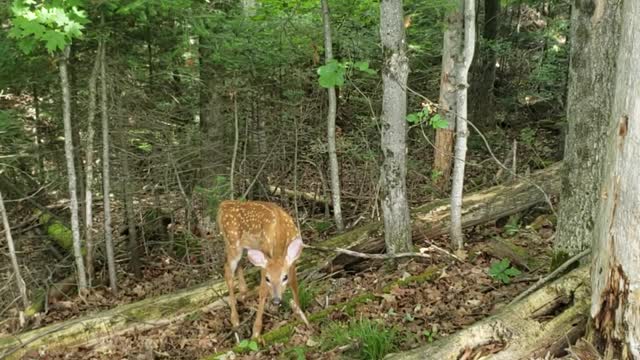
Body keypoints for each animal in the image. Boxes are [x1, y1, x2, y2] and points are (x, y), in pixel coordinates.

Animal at [216, 201, 308, 338]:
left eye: (284, 277)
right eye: (268, 278)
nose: (276, 300)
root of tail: (223, 204)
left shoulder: (292, 263)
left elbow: (294, 285)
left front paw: (300, 314)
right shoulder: (265, 261)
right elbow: (263, 291)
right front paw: (256, 331)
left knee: (238, 265)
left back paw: (243, 293)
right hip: (232, 243)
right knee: (227, 271)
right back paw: (235, 319)